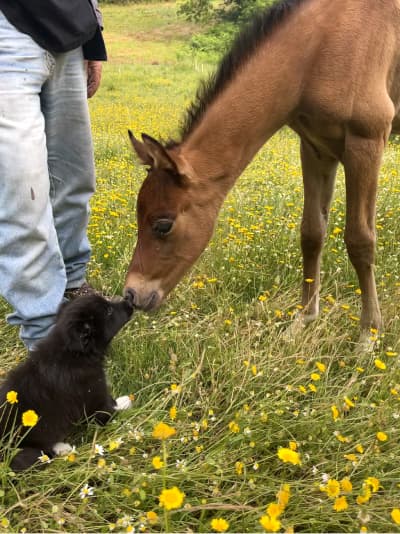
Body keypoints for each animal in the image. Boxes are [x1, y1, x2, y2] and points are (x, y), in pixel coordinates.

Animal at [0, 294, 134, 474]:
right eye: (109, 311)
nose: (129, 299)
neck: (73, 352)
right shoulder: (93, 396)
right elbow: (108, 409)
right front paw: (125, 403)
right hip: (25, 450)